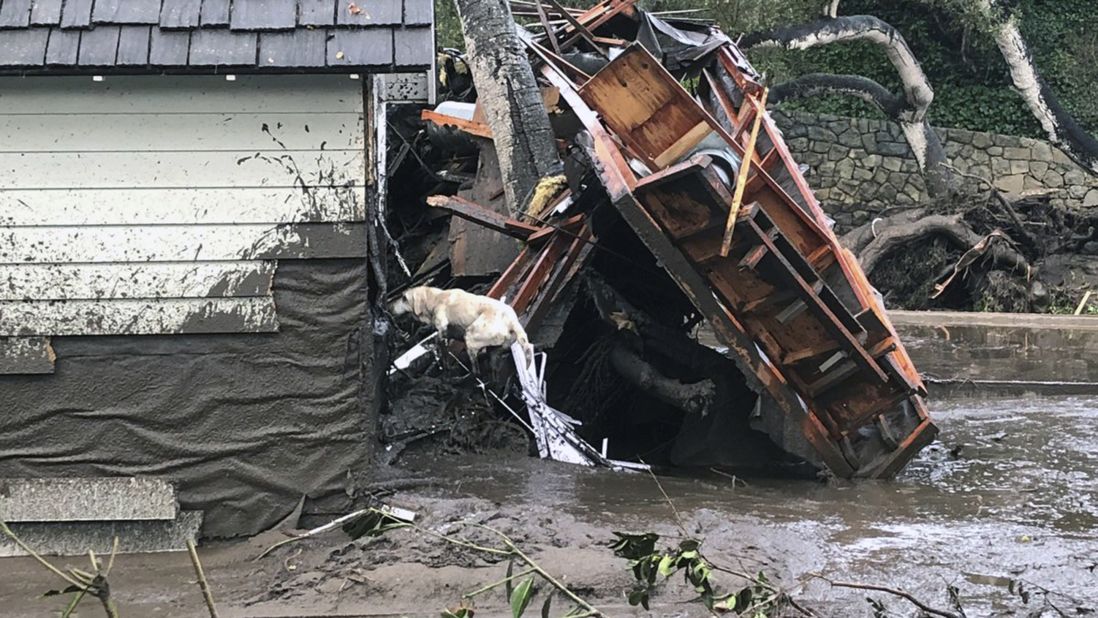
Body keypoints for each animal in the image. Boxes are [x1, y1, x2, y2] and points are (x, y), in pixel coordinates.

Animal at [390, 287, 535, 366]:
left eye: (404, 298)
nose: (390, 307)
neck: (435, 298)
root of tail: (512, 321)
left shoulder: (442, 325)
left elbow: (440, 341)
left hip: (470, 336)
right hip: (496, 348)